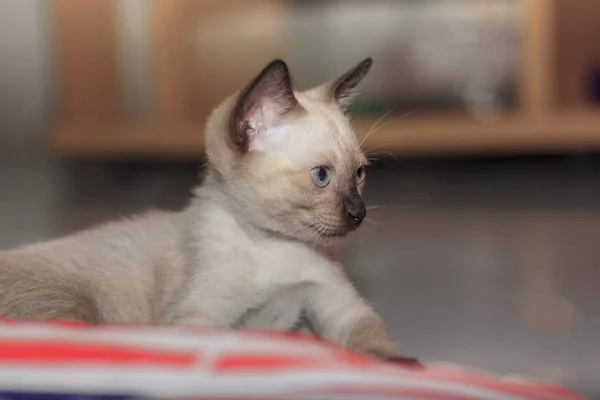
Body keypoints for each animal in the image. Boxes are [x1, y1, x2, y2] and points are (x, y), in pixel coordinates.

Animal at [0, 59, 418, 362]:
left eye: (360, 174)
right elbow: (217, 342)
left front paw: (403, 368)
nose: (359, 214)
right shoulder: (200, 317)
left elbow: (374, 344)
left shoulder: (335, 306)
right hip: (71, 309)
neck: (274, 244)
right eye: (321, 176)